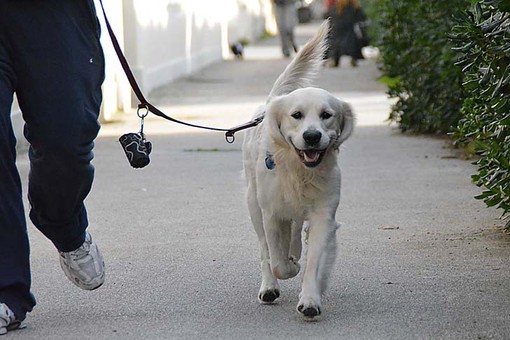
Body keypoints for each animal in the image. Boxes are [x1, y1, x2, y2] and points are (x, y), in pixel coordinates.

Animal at [243, 21, 354, 318]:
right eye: (296, 115)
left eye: (327, 115)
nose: (312, 136)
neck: (300, 172)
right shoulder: (271, 213)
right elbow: (277, 261)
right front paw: (289, 267)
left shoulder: (323, 214)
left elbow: (314, 260)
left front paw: (311, 299)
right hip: (254, 204)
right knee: (265, 250)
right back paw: (269, 286)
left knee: (294, 232)